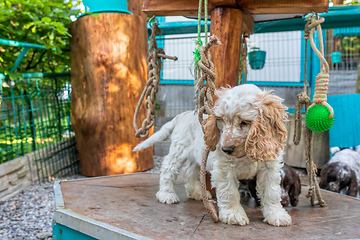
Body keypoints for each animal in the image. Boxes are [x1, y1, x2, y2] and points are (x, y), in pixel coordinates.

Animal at [134, 84, 292, 227]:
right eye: (222, 120)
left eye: (244, 122)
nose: (226, 149)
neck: (246, 154)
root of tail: (183, 115)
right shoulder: (224, 167)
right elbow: (230, 191)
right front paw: (233, 214)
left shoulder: (269, 167)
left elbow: (271, 192)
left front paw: (276, 215)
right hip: (180, 149)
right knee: (168, 168)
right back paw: (166, 194)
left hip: (197, 155)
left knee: (189, 171)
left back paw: (197, 193)